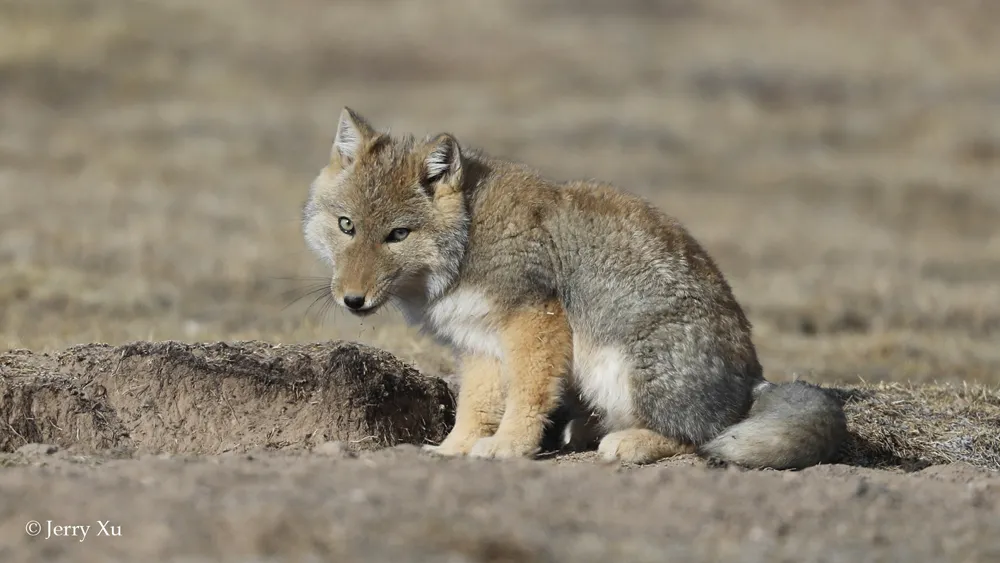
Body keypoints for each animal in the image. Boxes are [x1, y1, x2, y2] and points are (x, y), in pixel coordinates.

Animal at [300, 108, 848, 470]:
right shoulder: (479, 344)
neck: (470, 237)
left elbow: (525, 396)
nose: (352, 300)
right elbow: (474, 408)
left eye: (397, 235)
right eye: (347, 226)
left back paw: (630, 443)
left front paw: (509, 447)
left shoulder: (533, 322)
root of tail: (752, 378)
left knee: (705, 435)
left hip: (632, 367)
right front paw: (454, 449)